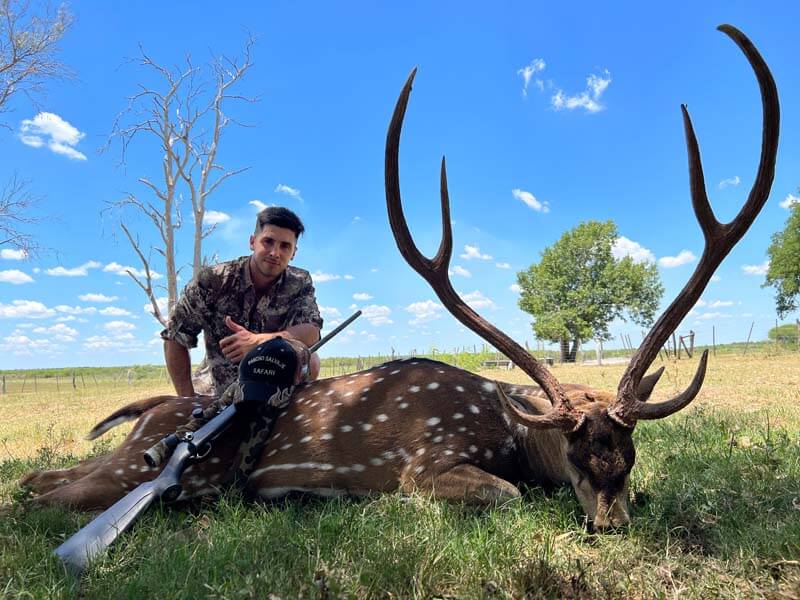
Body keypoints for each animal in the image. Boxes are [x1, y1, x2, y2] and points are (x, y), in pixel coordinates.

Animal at [20, 25, 778, 531]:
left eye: (630, 451)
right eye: (573, 447)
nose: (608, 521)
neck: (509, 430)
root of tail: (155, 411)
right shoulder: (424, 465)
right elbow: (507, 493)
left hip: (118, 460)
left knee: (37, 475)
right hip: (142, 471)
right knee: (47, 492)